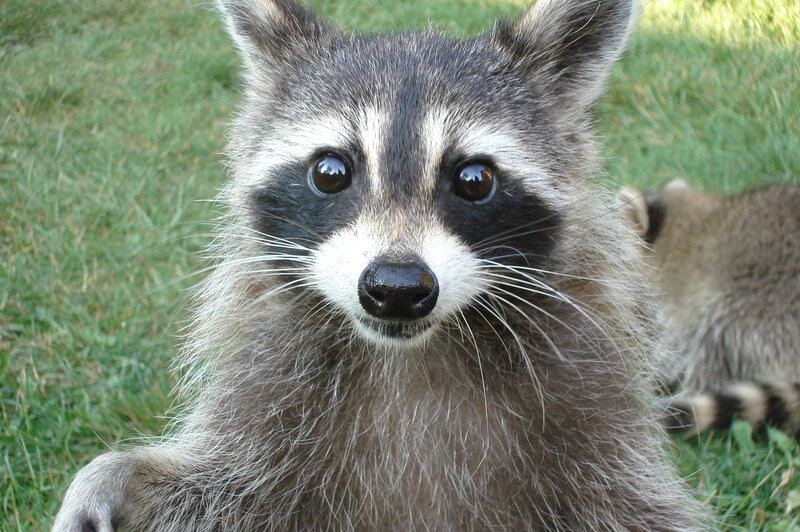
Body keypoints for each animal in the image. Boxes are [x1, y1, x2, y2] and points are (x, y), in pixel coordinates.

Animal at [53, 0, 707, 530]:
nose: (396, 288)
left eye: (474, 179)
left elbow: (634, 506)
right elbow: (227, 487)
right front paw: (119, 475)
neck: (412, 354)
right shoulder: (272, 394)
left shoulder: (591, 407)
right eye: (330, 171)